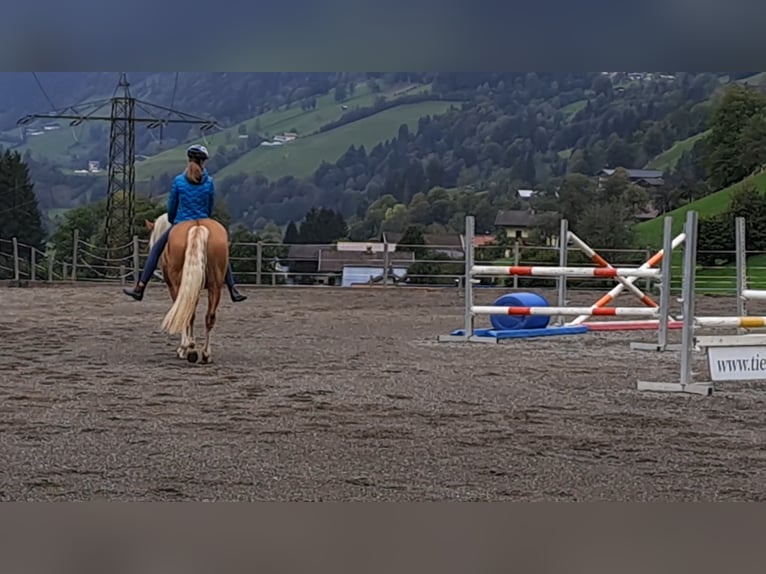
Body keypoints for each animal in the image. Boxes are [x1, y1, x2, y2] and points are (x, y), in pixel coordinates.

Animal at [144, 216, 228, 364]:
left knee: (187, 314)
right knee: (209, 317)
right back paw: (205, 354)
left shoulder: (175, 287)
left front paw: (184, 348)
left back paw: (190, 350)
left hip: (179, 285)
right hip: (215, 285)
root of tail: (198, 226)